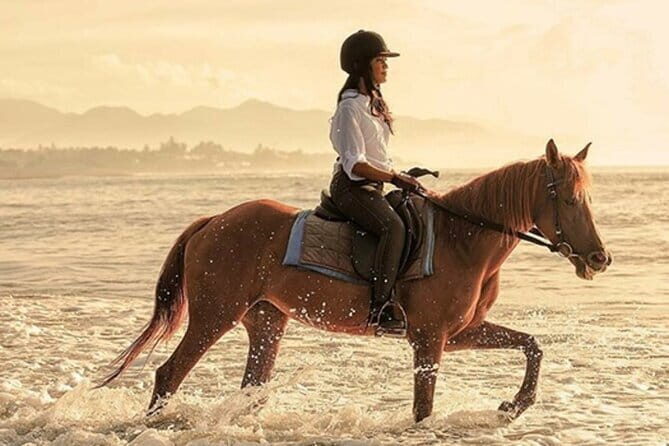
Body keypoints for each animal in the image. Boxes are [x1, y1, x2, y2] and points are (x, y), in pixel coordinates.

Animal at [99, 139, 611, 422]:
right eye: (569, 199)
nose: (600, 258)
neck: (461, 238)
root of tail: (214, 222)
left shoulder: (459, 332)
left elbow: (532, 345)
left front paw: (515, 405)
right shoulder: (430, 338)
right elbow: (423, 408)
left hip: (266, 322)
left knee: (250, 389)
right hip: (215, 315)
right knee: (169, 374)